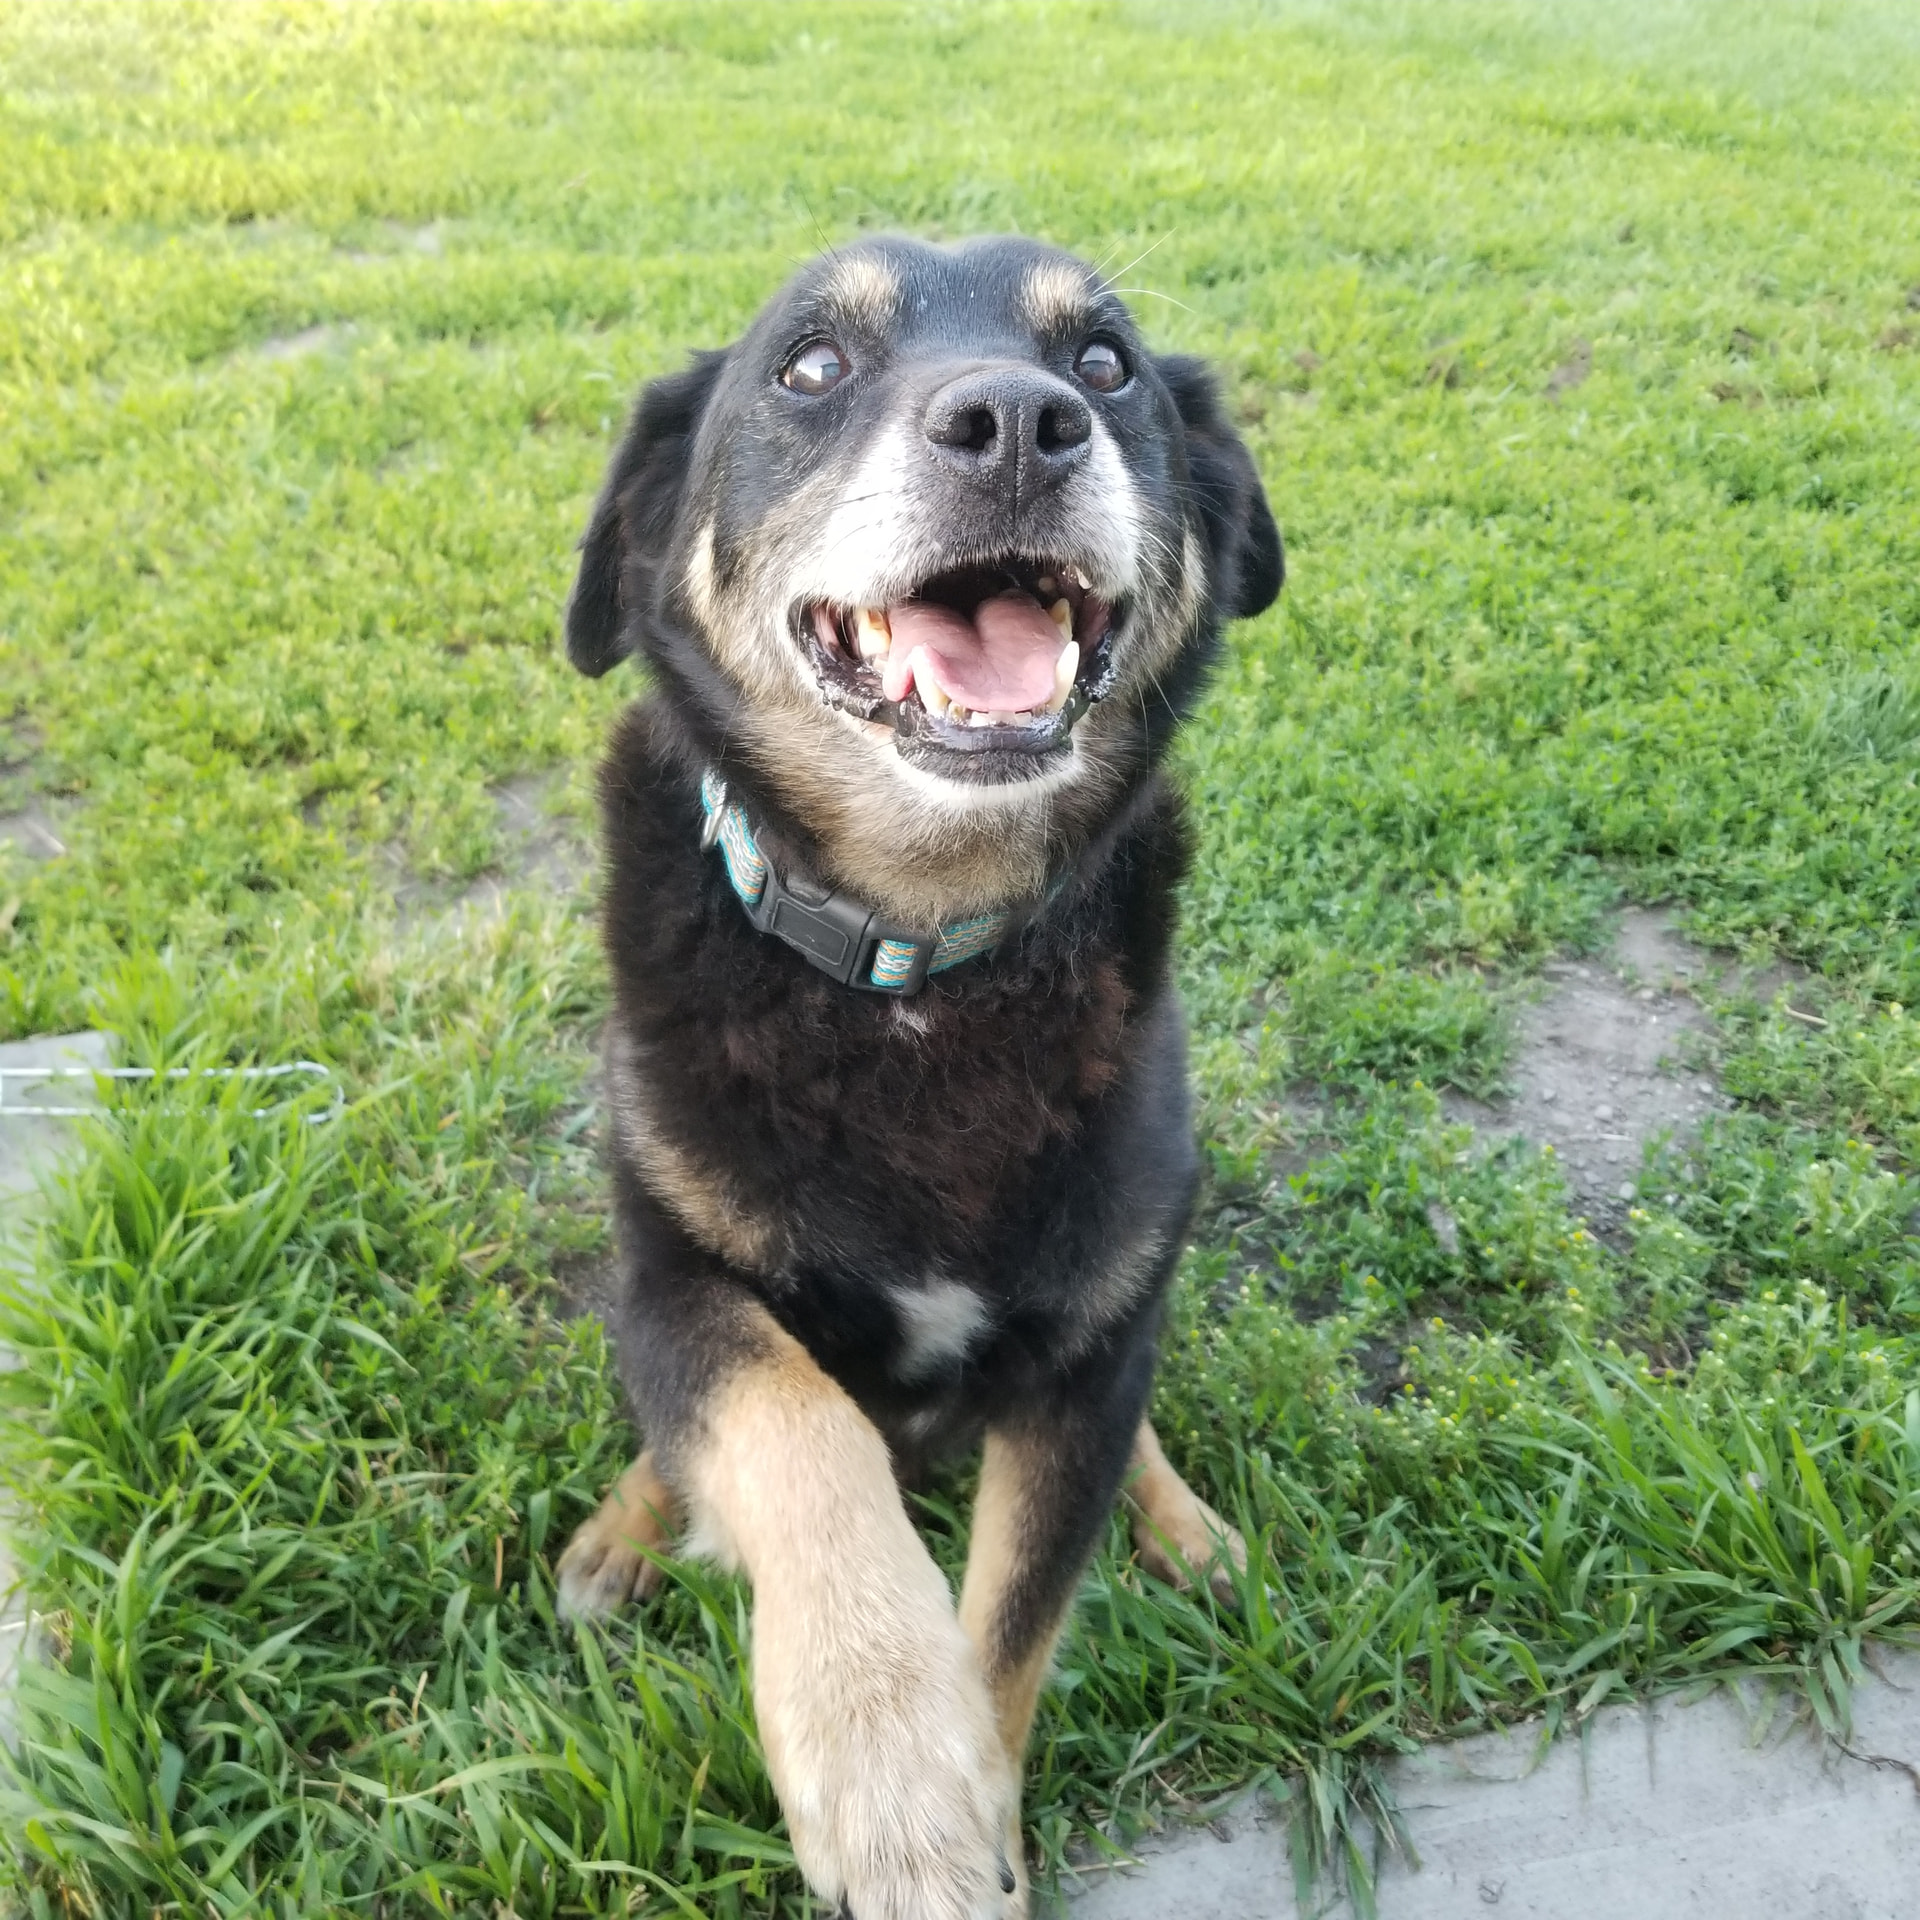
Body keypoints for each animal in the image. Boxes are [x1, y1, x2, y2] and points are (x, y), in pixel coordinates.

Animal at [554, 233, 1281, 1920]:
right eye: (811, 364)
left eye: (1106, 366)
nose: (1017, 424)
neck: (918, 966)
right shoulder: (676, 1276)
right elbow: (787, 1419)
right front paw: (880, 1749)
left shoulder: (1088, 1350)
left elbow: (1011, 1636)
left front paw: (961, 1816)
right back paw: (625, 1532)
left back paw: (1186, 1527)